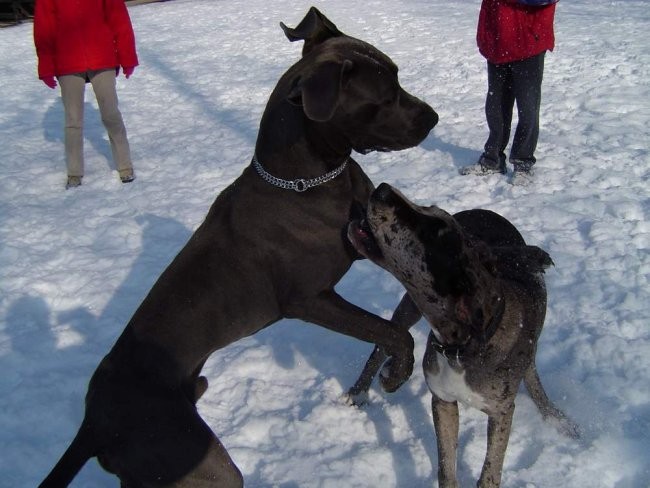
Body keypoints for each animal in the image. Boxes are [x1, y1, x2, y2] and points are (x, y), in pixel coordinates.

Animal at [40, 7, 436, 488]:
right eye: (386, 94)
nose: (434, 118)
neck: (307, 180)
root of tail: (92, 424)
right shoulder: (310, 300)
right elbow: (392, 332)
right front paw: (397, 375)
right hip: (197, 461)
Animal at [350, 184, 576, 488]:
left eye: (430, 233)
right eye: (426, 210)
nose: (383, 188)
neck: (461, 347)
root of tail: (484, 210)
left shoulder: (502, 412)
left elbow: (489, 474)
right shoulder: (443, 400)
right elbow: (446, 468)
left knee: (531, 372)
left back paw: (555, 417)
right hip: (409, 307)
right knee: (381, 346)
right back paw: (359, 391)